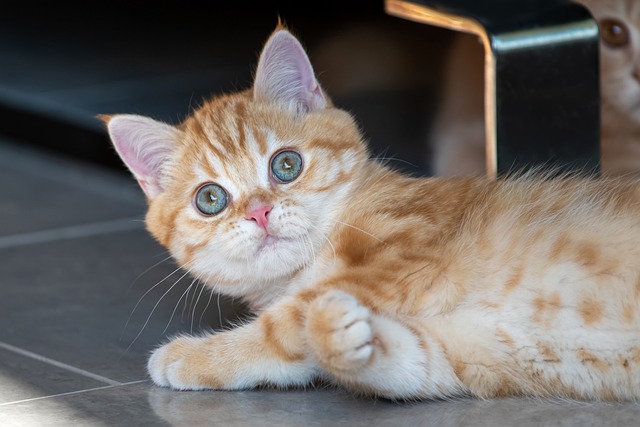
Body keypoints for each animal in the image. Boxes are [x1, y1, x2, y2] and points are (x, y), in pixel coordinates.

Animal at [102, 25, 640, 402]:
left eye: (286, 164)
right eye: (210, 198)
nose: (260, 213)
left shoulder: (409, 250)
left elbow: (288, 321)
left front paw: (195, 353)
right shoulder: (468, 350)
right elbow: (399, 364)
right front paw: (346, 341)